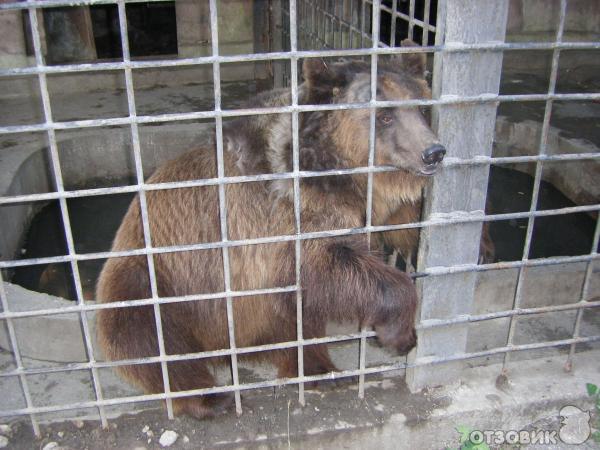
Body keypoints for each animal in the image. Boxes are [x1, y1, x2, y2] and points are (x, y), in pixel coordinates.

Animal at [96, 45, 446, 418]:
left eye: (421, 107)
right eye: (384, 116)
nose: (433, 152)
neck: (343, 175)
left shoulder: (371, 208)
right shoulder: (283, 216)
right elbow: (328, 263)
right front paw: (400, 334)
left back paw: (318, 370)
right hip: (156, 278)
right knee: (145, 334)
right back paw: (210, 397)